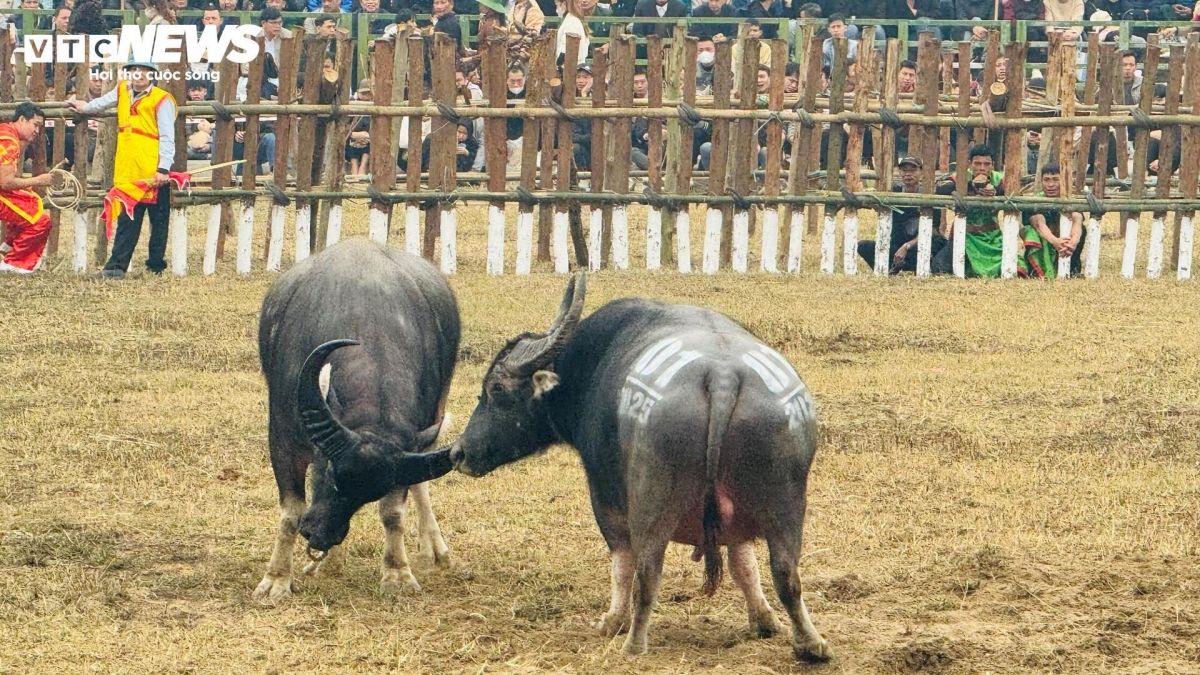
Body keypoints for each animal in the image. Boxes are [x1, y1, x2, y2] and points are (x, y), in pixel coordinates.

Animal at [252, 239, 453, 600]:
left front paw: (397, 573)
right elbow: (290, 513)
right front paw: (276, 579)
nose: (320, 534)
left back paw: (435, 548)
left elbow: (393, 513)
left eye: (368, 495)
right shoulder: (282, 440)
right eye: (330, 471)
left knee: (422, 485)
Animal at [446, 271, 830, 658]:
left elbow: (621, 561)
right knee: (786, 573)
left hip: (652, 501)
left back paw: (634, 642)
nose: (458, 453)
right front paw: (764, 621)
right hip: (785, 504)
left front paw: (611, 621)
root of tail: (722, 377)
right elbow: (744, 562)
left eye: (496, 388)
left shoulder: (604, 495)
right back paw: (811, 644)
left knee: (647, 570)